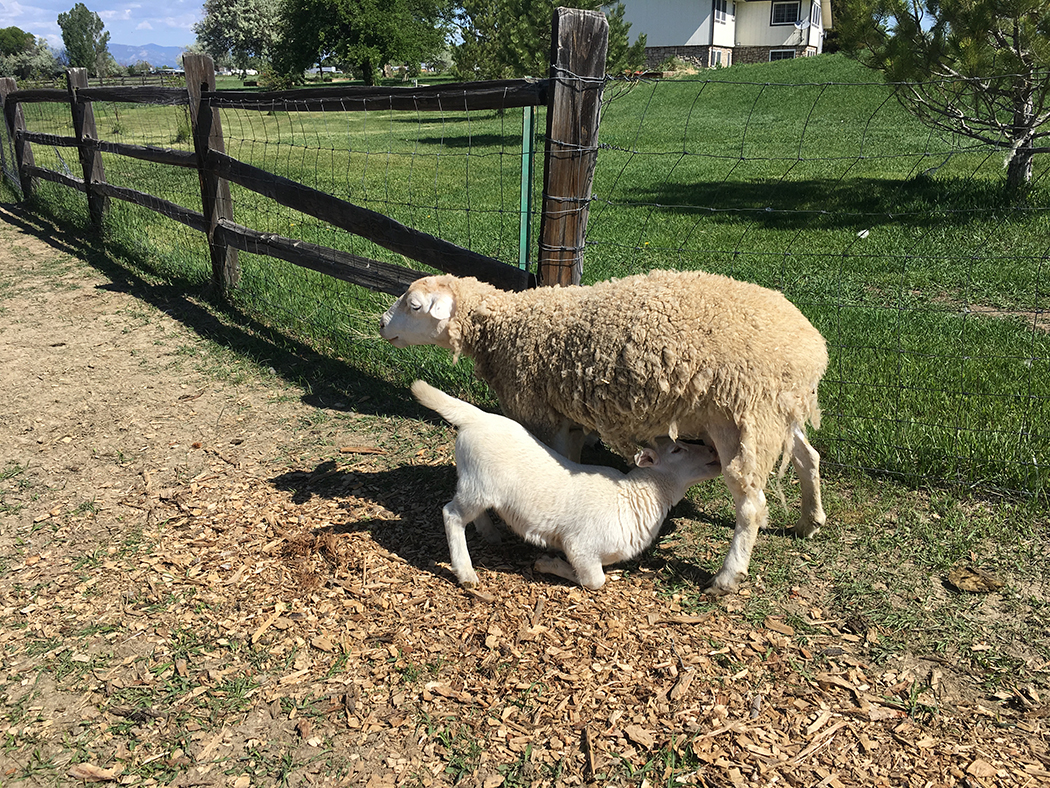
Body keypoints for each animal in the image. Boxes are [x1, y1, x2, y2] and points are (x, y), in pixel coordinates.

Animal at [411, 379, 722, 589]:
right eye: (677, 450)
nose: (714, 452)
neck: (633, 497)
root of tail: (477, 417)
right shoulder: (580, 546)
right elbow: (594, 580)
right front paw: (549, 564)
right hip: (478, 485)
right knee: (451, 514)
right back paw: (465, 572)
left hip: (478, 487)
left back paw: (490, 535)